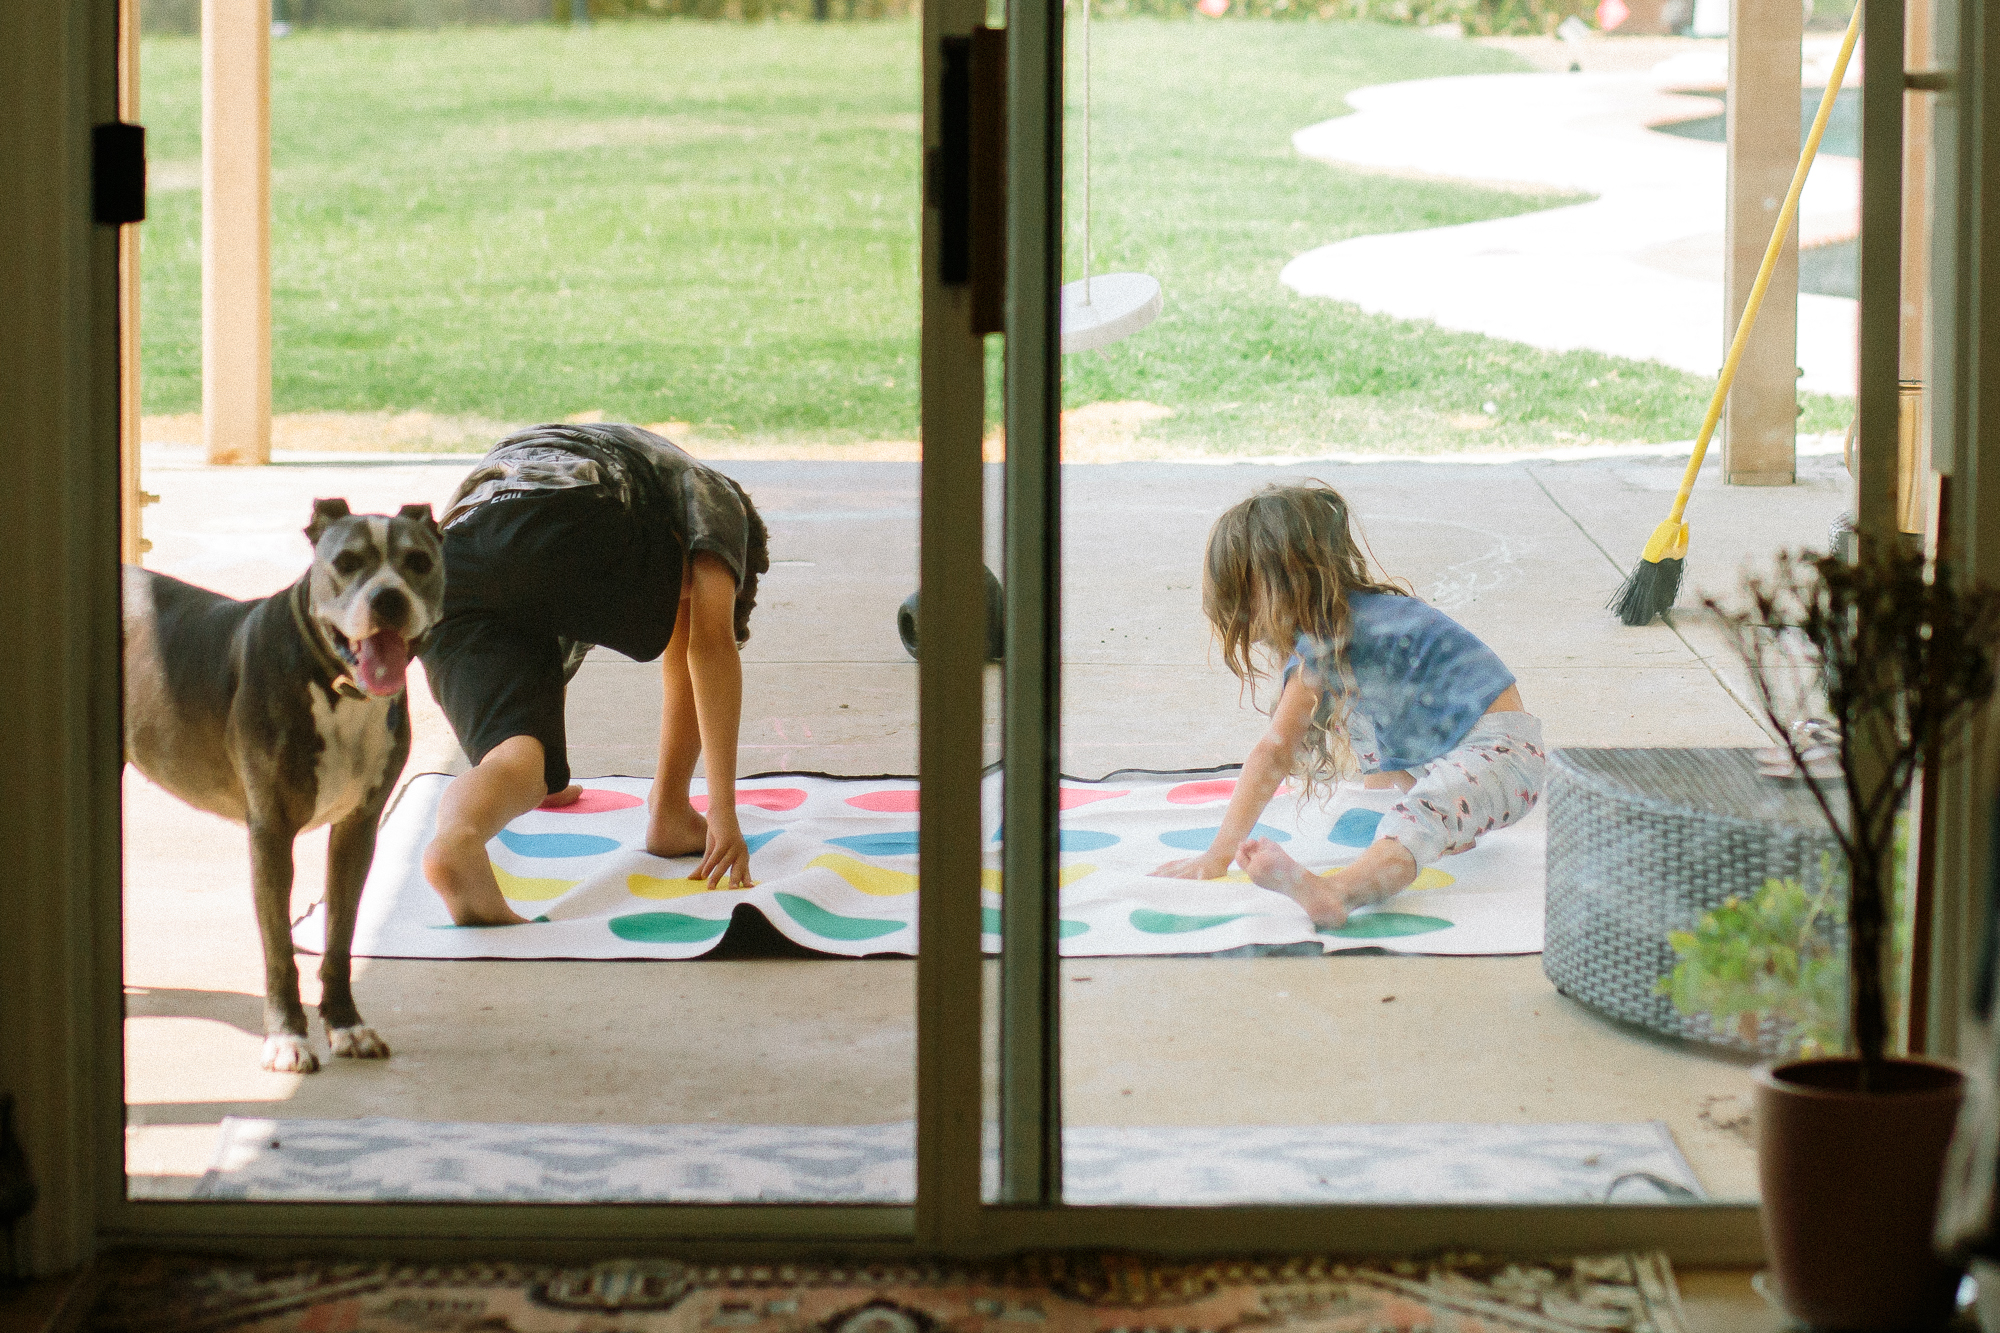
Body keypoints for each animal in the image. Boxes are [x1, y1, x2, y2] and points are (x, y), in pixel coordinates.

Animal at [125, 498, 446, 1072]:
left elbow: (339, 938)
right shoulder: (271, 834)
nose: (387, 598)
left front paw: (346, 1025)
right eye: (346, 562)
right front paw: (287, 1037)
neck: (338, 687)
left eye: (418, 562)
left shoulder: (358, 831)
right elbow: (278, 950)